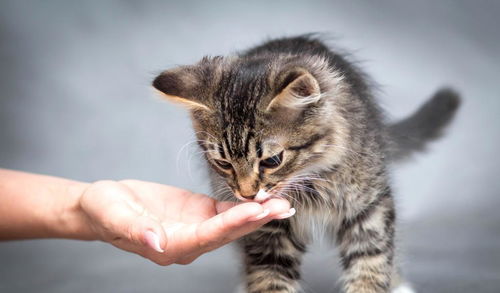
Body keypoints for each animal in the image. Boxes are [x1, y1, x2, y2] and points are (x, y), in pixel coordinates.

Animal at [152, 34, 460, 292]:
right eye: (223, 163)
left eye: (272, 160)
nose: (247, 194)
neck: (309, 182)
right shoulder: (267, 231)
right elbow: (269, 277)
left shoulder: (369, 206)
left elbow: (371, 262)